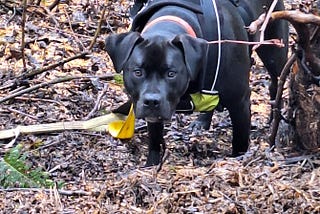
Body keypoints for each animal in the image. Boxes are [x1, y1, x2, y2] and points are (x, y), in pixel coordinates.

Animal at [106, 0, 288, 166]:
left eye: (171, 74)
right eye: (138, 72)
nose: (151, 101)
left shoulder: (240, 102)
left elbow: (240, 142)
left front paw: (239, 160)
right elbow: (154, 143)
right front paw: (151, 166)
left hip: (274, 52)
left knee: (277, 83)